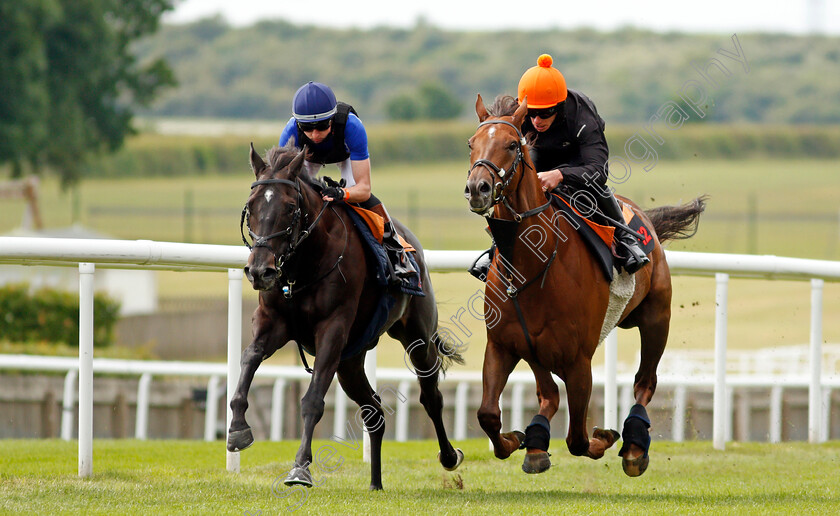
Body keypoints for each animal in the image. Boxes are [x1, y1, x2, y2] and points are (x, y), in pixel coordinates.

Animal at [230, 143, 462, 490]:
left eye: (289, 207)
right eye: (251, 206)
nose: (260, 271)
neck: (302, 267)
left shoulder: (333, 328)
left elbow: (312, 400)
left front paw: (300, 468)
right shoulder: (273, 322)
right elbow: (249, 357)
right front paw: (237, 428)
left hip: (416, 337)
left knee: (431, 396)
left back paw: (449, 456)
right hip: (350, 359)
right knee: (374, 411)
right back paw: (375, 483)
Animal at [462, 95, 704, 476]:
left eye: (513, 144)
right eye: (471, 144)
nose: (477, 188)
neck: (533, 264)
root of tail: (645, 219)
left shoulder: (579, 362)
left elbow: (577, 437)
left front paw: (604, 438)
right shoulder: (503, 344)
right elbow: (487, 414)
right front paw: (517, 439)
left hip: (656, 319)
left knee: (645, 382)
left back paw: (634, 446)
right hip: (535, 350)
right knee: (548, 394)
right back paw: (535, 442)